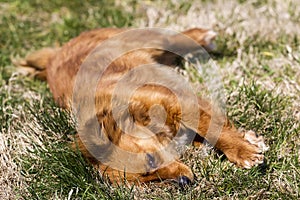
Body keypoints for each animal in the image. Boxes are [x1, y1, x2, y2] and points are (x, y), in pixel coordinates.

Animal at [17, 27, 268, 187]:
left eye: (151, 159)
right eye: (148, 179)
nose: (184, 183)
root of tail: (55, 55)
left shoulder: (178, 101)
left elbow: (211, 128)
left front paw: (243, 152)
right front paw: (248, 141)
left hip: (146, 40)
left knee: (174, 37)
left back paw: (203, 37)